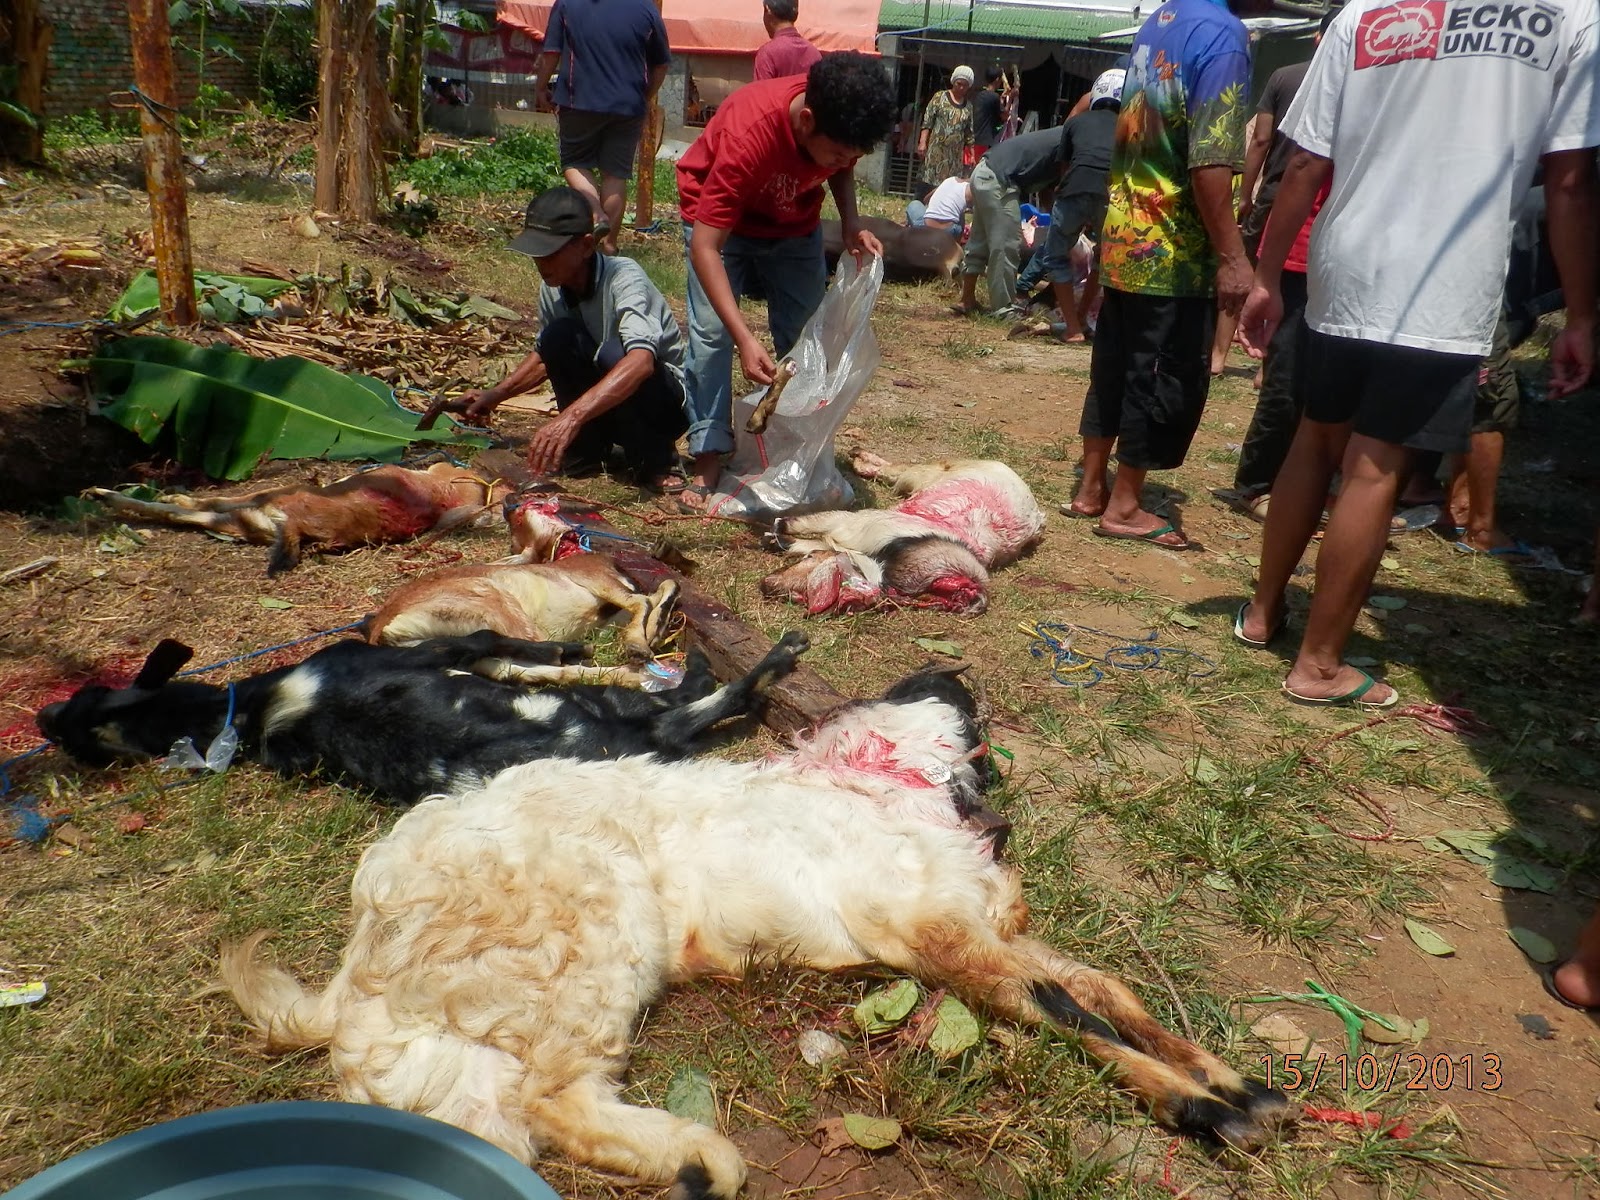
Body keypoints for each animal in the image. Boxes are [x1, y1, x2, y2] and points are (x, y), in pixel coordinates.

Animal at [87, 464, 515, 576]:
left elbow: (211, 497)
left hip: (270, 499)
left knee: (202, 506)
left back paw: (106, 495)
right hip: (248, 522)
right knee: (204, 514)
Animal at [219, 672, 1286, 1196]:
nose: (960, 675)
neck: (879, 790)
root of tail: (361, 948)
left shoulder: (979, 922)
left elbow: (1110, 993)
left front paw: (1238, 1085)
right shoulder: (931, 932)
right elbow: (1065, 1009)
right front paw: (1196, 1108)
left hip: (492, 998)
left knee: (495, 1120)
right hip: (588, 924)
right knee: (549, 1100)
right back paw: (704, 1160)